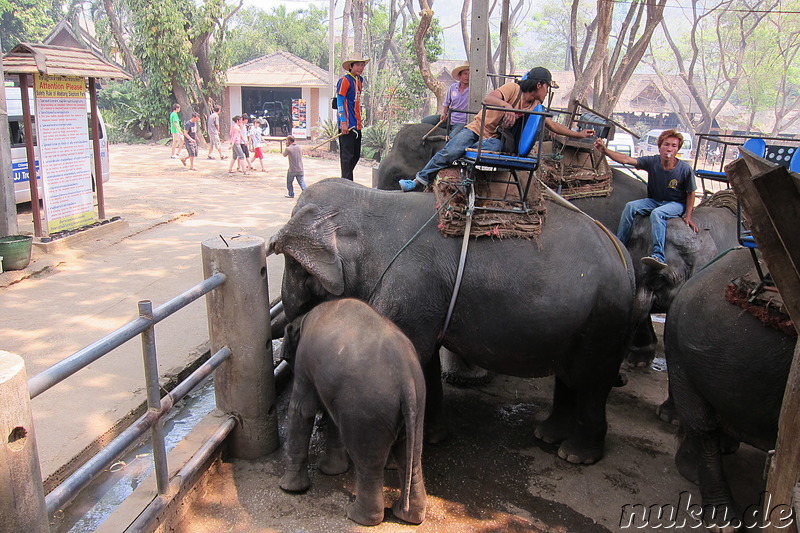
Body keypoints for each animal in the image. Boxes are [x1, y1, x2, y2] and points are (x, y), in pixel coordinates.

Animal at [270, 178, 636, 462]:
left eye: (292, 265)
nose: (285, 342)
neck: (371, 199)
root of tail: (625, 259)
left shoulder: (409, 283)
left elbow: (406, 357)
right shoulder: (424, 299)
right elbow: (423, 360)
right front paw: (433, 438)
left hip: (605, 320)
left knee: (592, 382)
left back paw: (575, 455)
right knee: (570, 378)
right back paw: (547, 436)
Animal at [280, 298, 428, 524]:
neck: (304, 318)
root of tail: (406, 380)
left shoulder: (305, 362)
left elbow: (302, 410)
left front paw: (287, 488)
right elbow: (331, 415)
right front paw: (331, 471)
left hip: (367, 411)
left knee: (368, 463)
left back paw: (357, 516)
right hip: (416, 405)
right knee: (410, 457)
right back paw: (408, 515)